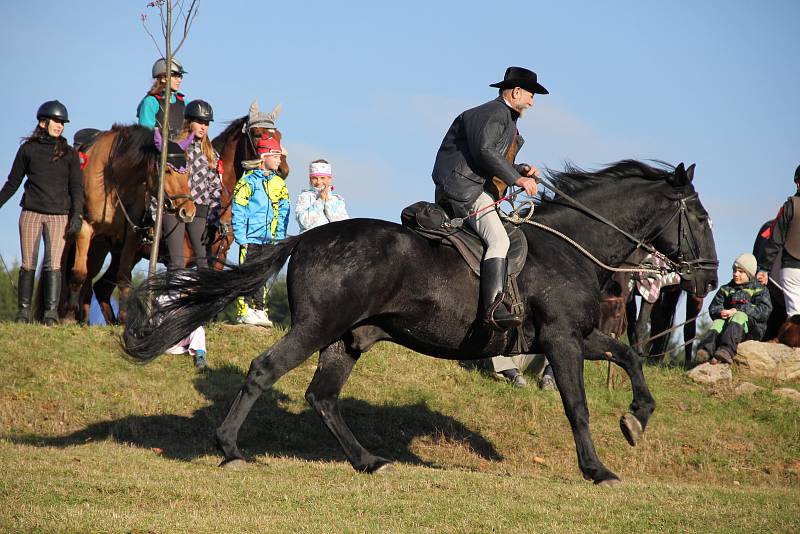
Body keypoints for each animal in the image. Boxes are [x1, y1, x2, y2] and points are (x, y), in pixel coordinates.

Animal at [61, 125, 195, 324]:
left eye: (187, 172)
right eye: (167, 171)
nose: (188, 211)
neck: (112, 180)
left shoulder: (131, 236)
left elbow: (124, 276)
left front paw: (124, 318)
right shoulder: (85, 229)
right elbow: (78, 273)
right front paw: (69, 316)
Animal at [120, 159, 720, 486]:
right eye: (700, 216)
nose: (708, 280)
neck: (573, 247)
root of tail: (310, 238)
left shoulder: (578, 336)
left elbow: (630, 355)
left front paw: (637, 419)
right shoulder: (561, 340)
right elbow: (577, 406)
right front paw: (597, 469)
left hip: (347, 339)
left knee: (322, 397)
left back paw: (369, 461)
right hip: (318, 328)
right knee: (263, 371)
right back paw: (231, 450)